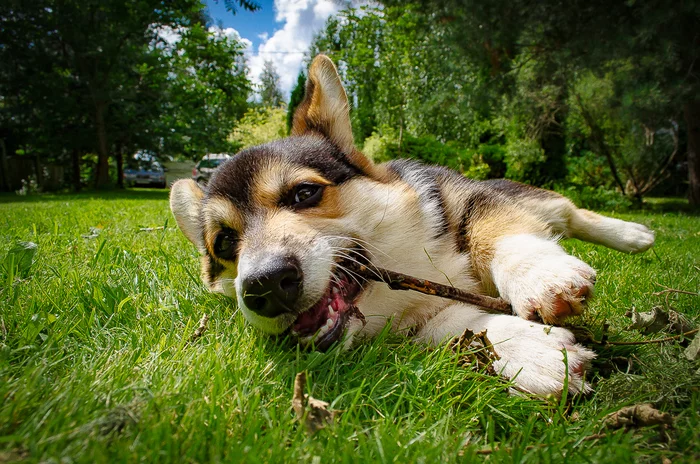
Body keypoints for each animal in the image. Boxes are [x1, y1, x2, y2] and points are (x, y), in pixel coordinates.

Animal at [171, 54, 656, 396]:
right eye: (224, 243)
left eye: (304, 194)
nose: (265, 286)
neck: (405, 264)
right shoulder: (421, 320)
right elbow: (459, 325)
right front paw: (531, 353)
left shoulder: (467, 201)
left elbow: (497, 234)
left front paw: (539, 275)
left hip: (533, 200)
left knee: (569, 212)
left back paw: (635, 235)